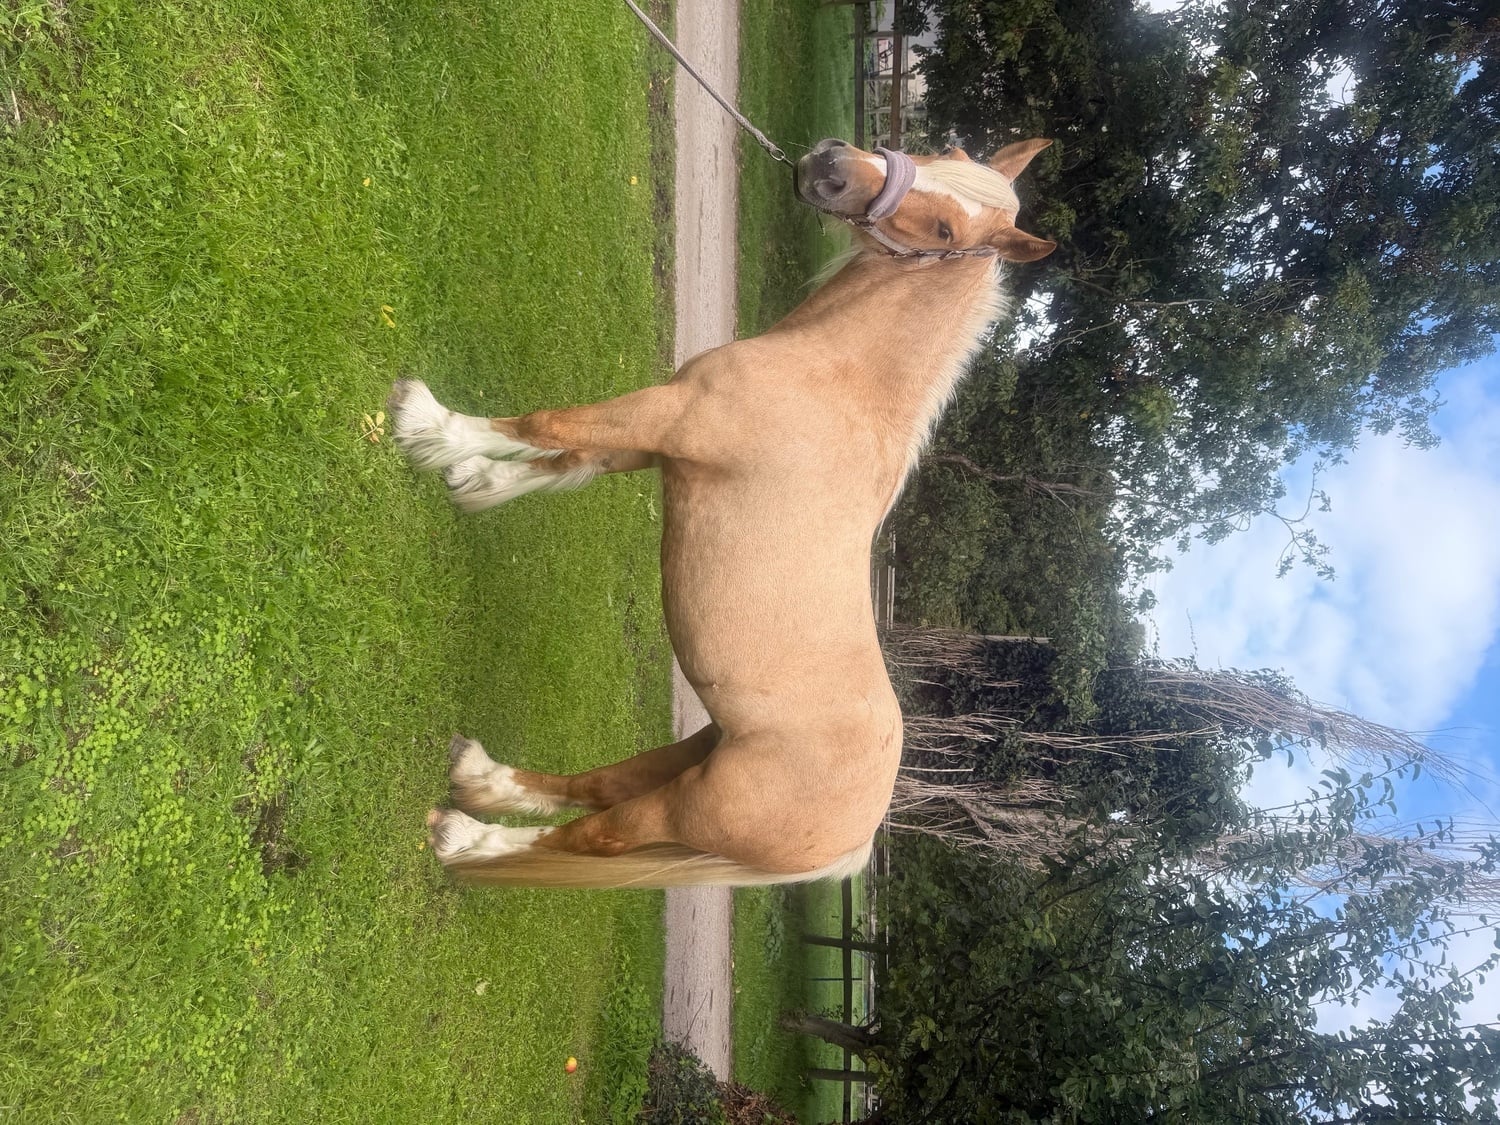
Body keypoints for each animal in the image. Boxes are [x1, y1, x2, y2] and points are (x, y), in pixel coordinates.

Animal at [386, 136, 1054, 887]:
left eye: (946, 231)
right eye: (948, 152)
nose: (831, 165)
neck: (832, 381)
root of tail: (852, 843)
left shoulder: (664, 416)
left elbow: (549, 425)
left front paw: (425, 423)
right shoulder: (659, 445)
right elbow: (567, 460)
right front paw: (472, 477)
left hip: (684, 809)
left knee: (595, 836)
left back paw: (467, 837)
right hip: (695, 751)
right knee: (596, 785)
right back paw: (480, 778)